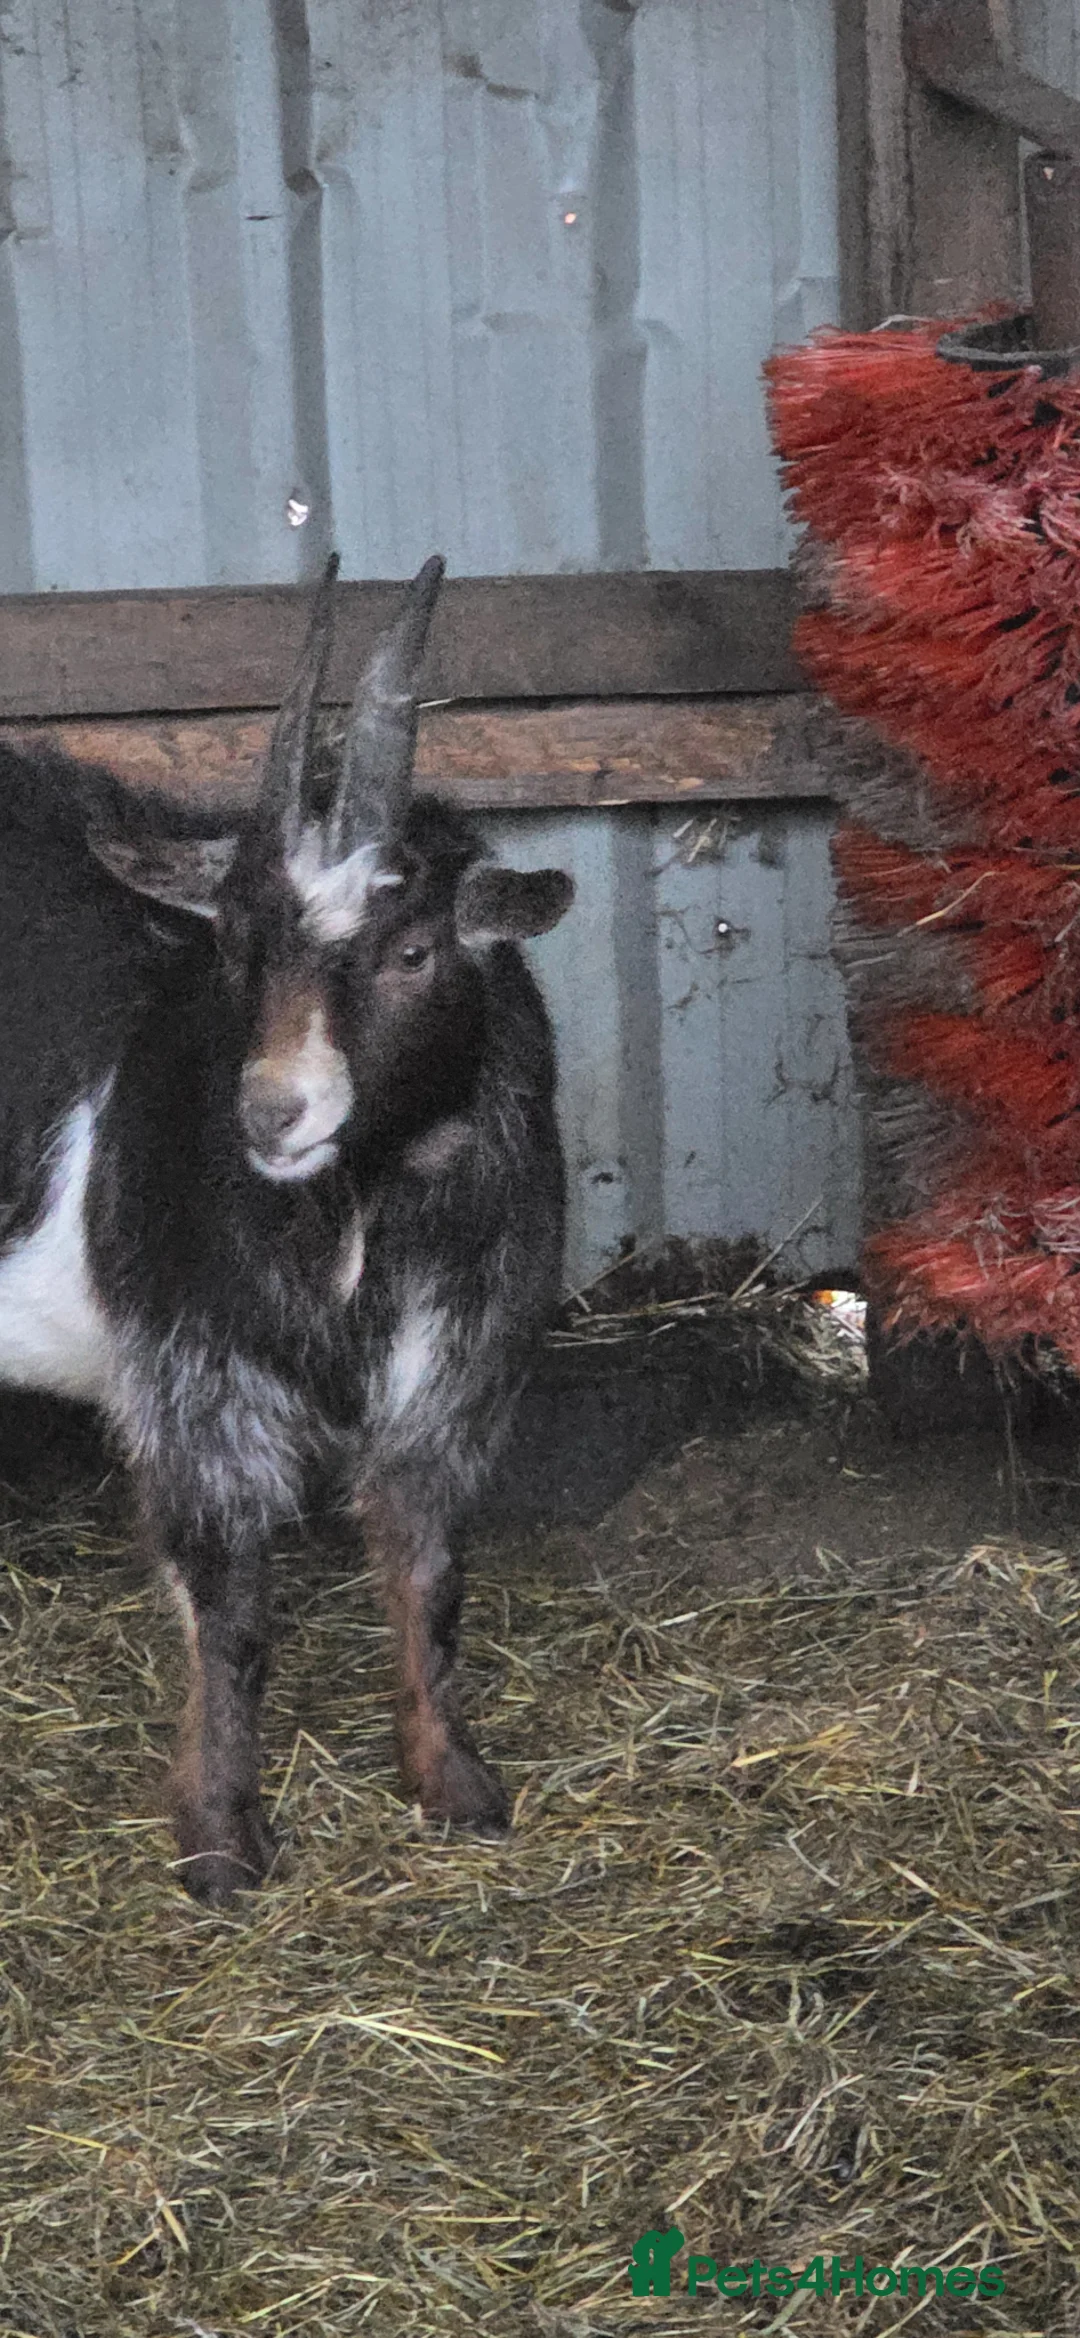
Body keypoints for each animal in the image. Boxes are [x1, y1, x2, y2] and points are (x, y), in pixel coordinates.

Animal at [0, 556, 573, 1902]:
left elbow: (429, 1571)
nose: (273, 1109)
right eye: (235, 946)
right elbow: (232, 1606)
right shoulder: (196, 1378)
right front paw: (221, 1838)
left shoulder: (453, 1371)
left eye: (413, 948)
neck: (360, 1219)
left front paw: (454, 1783)